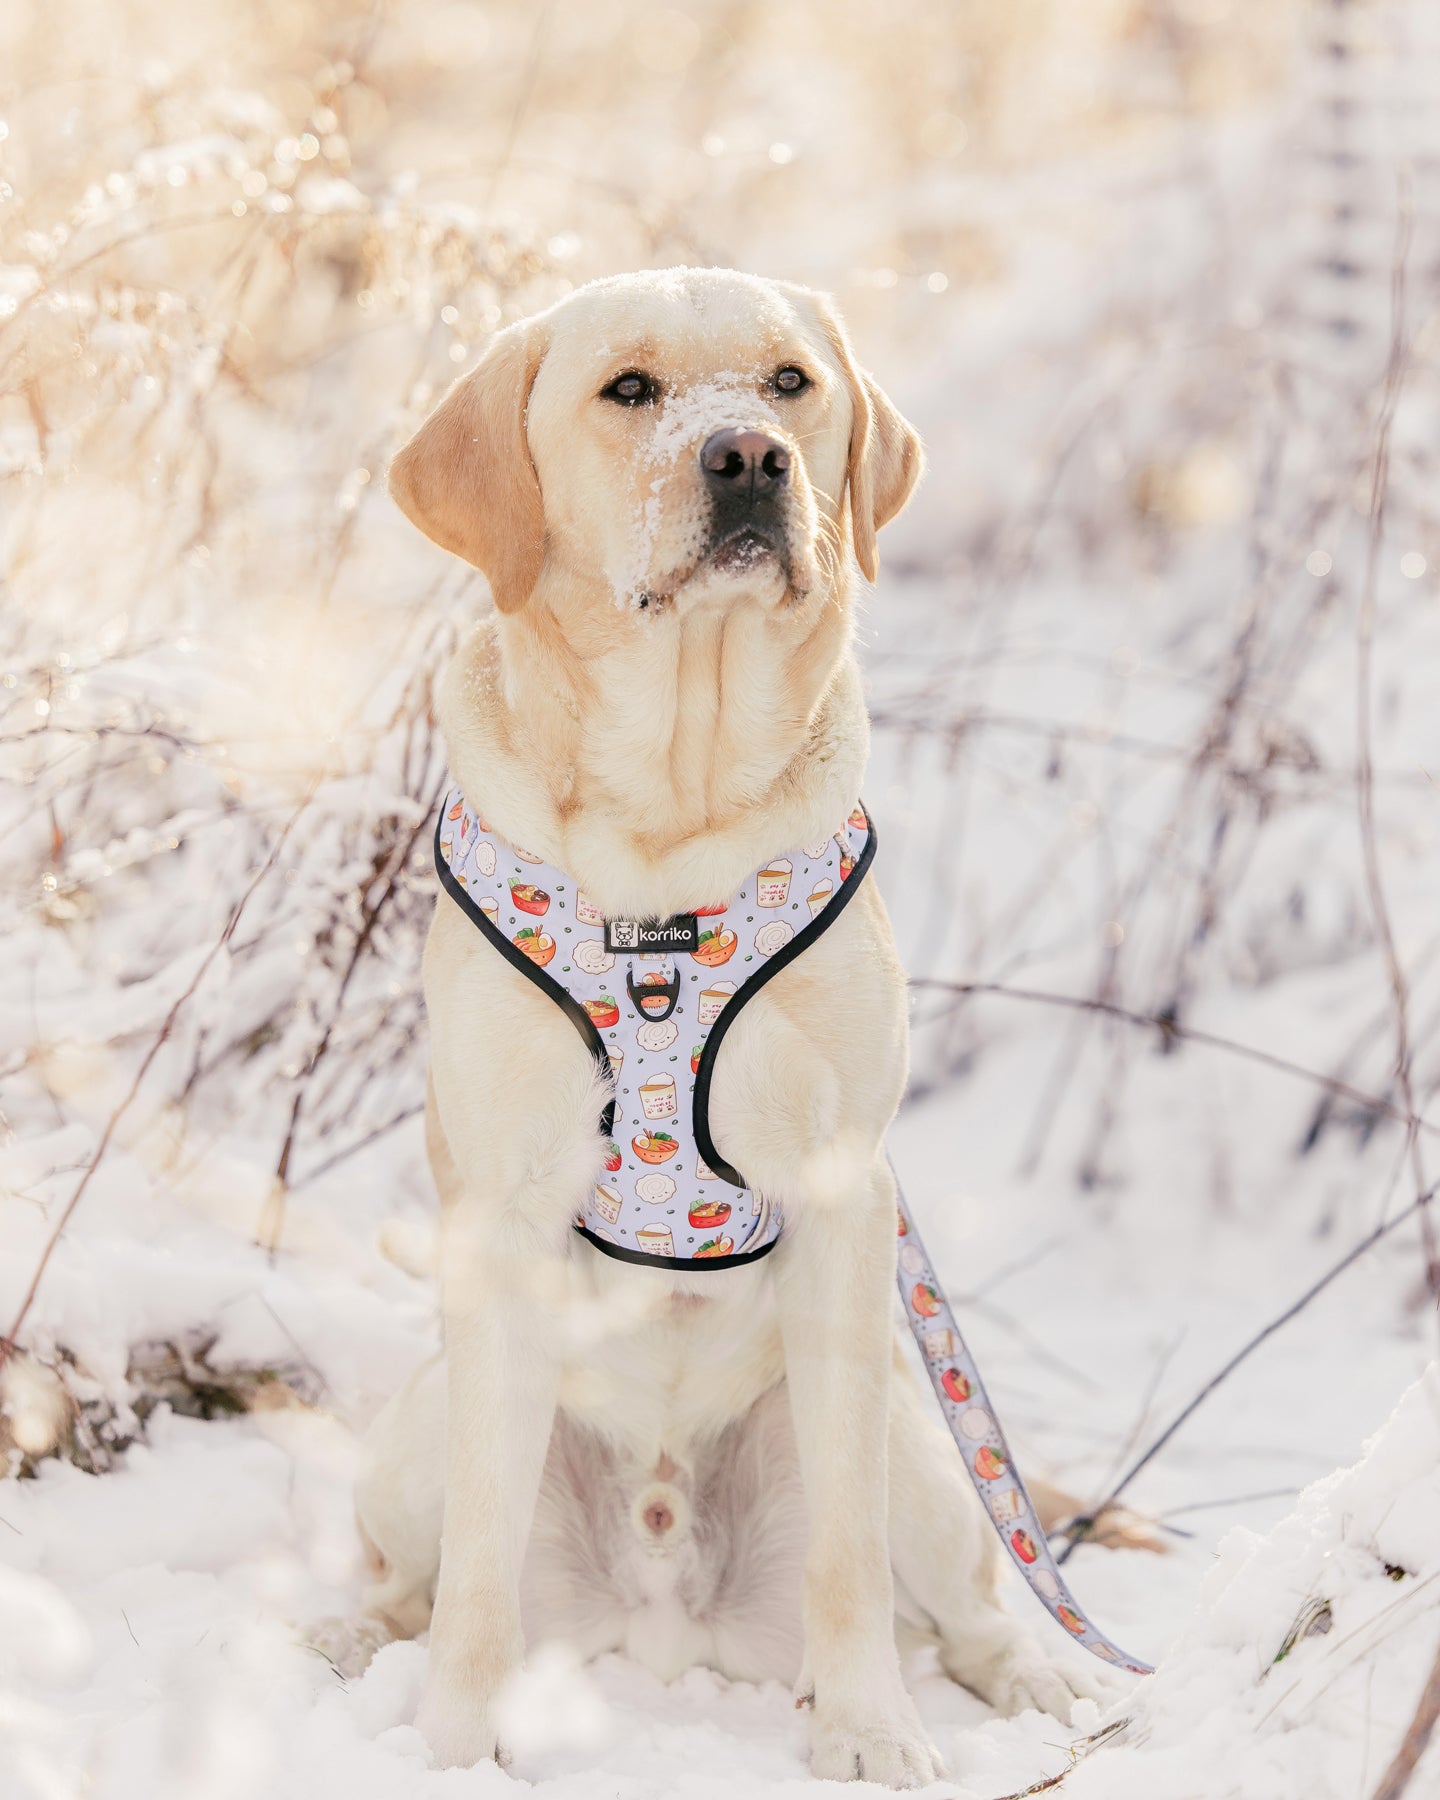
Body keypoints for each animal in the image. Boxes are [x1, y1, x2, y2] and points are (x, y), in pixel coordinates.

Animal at [360, 266, 1094, 1785]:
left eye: (790, 383)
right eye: (630, 389)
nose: (747, 456)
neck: (669, 823)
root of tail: (661, 1617)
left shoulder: (845, 1199)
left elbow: (848, 1565)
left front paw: (872, 1737)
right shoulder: (501, 1216)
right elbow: (473, 1584)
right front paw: (451, 1749)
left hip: (921, 1445)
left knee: (975, 1597)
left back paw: (1047, 1684)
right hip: (413, 1440)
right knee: (418, 1571)